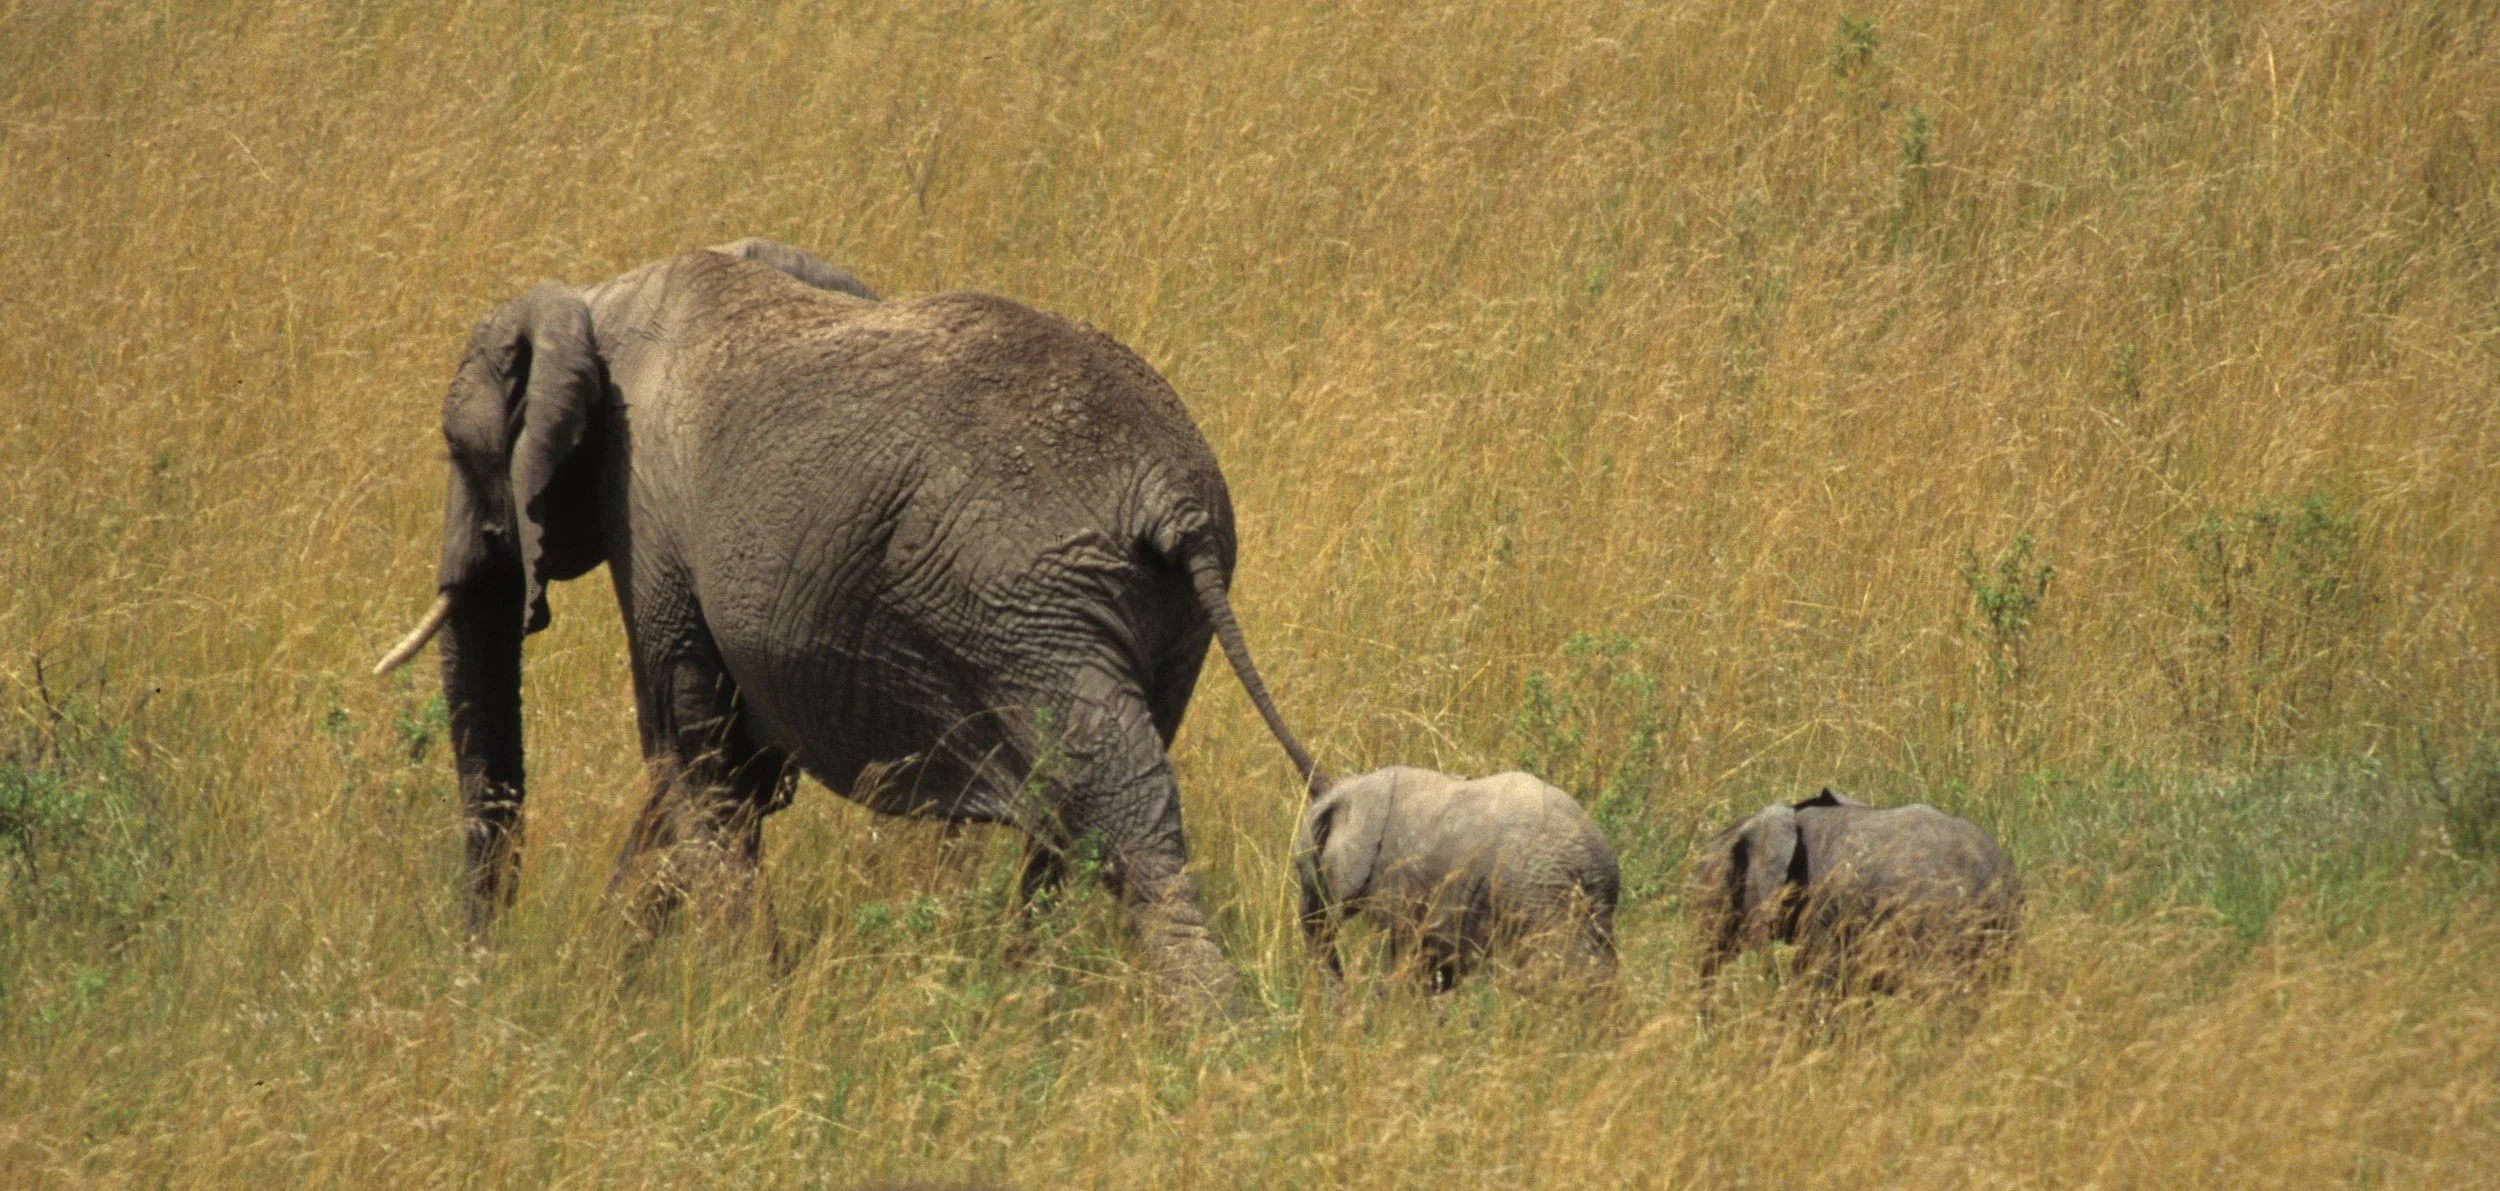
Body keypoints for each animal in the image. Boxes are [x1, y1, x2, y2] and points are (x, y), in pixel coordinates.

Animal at [375, 239, 1323, 1009]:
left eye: (458, 451)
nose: (483, 965)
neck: (597, 295)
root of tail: (1174, 500)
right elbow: (720, 769)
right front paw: (612, 978)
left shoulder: (646, 515)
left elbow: (689, 751)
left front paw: (746, 995)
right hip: (1149, 627)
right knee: (1078, 822)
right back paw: (1020, 1003)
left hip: (1033, 610)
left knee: (1121, 813)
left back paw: (1214, 1035)